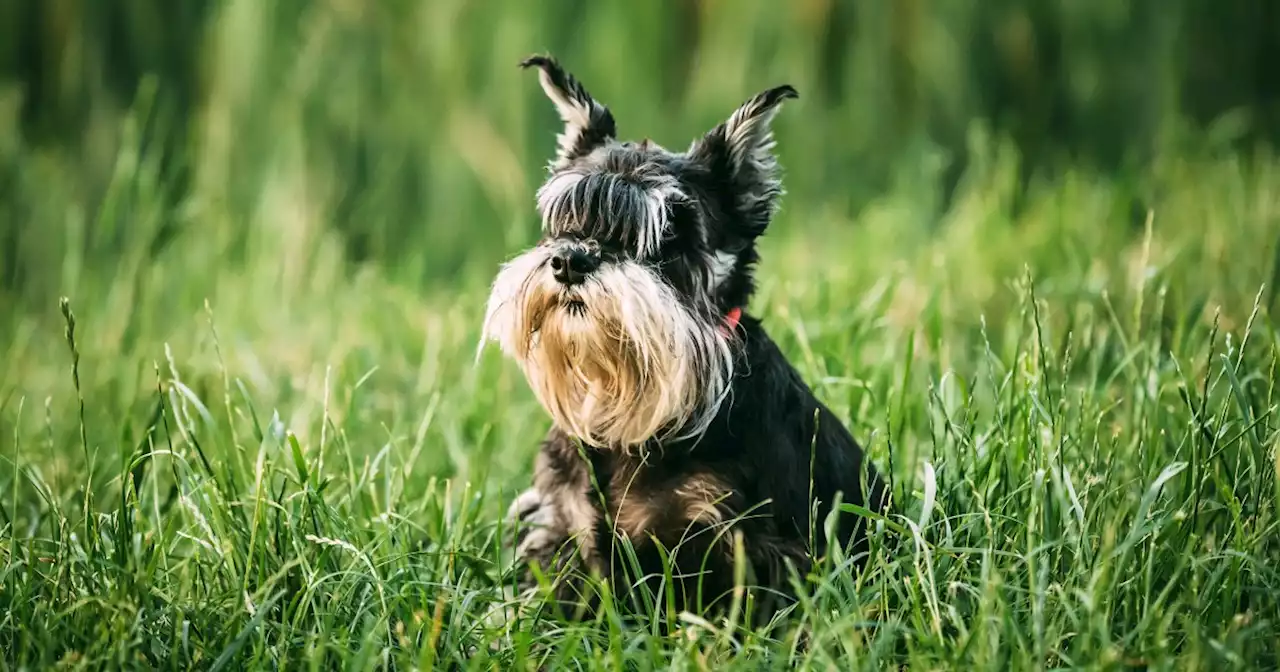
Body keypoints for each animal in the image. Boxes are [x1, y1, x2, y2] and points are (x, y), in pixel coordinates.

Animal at [481, 53, 890, 624]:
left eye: (670, 238)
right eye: (563, 220)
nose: (569, 260)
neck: (631, 417)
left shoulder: (732, 540)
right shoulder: (562, 526)